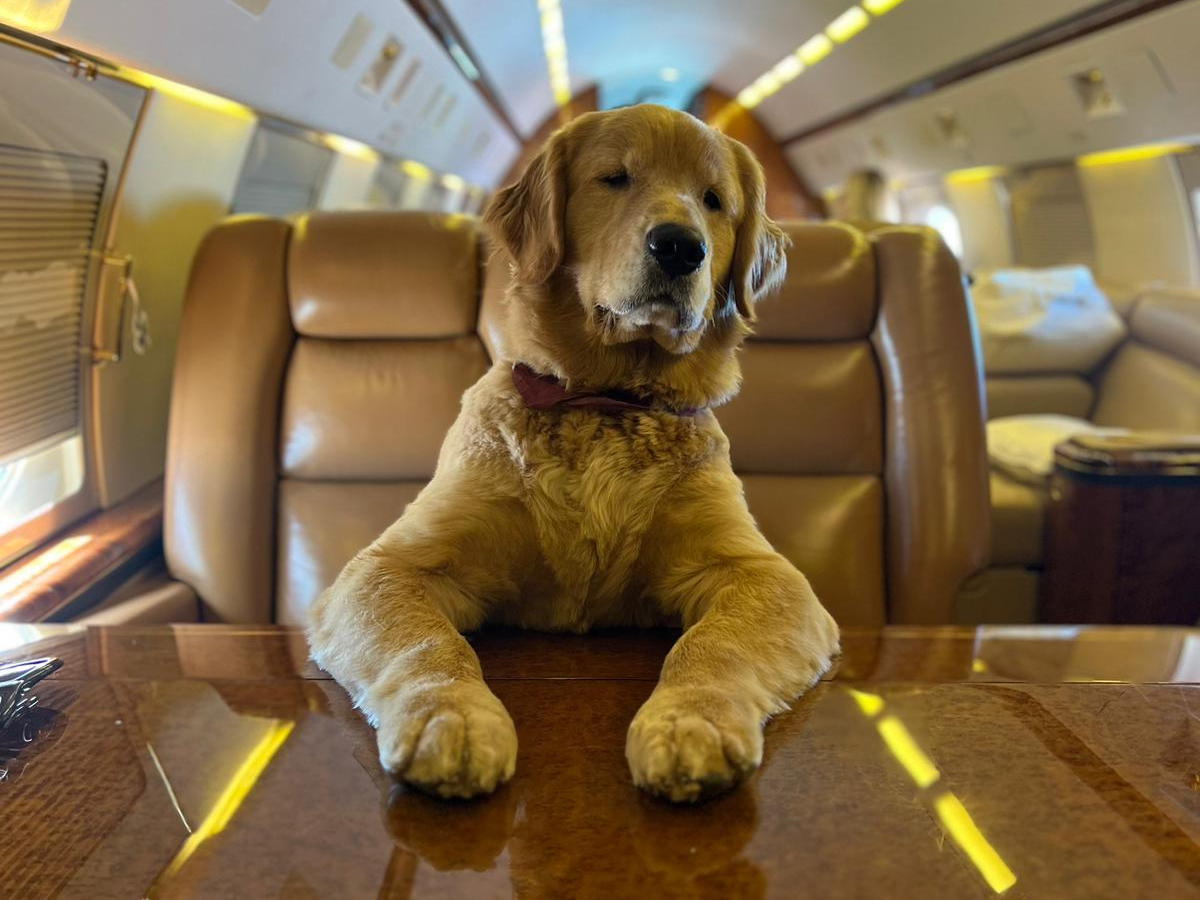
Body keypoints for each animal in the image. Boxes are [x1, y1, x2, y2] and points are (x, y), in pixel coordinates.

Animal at [304, 103, 840, 801]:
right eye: (614, 178)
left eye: (714, 200)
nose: (680, 246)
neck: (605, 403)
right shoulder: (390, 566)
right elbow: (429, 646)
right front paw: (450, 717)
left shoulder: (760, 572)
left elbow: (712, 645)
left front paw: (689, 721)